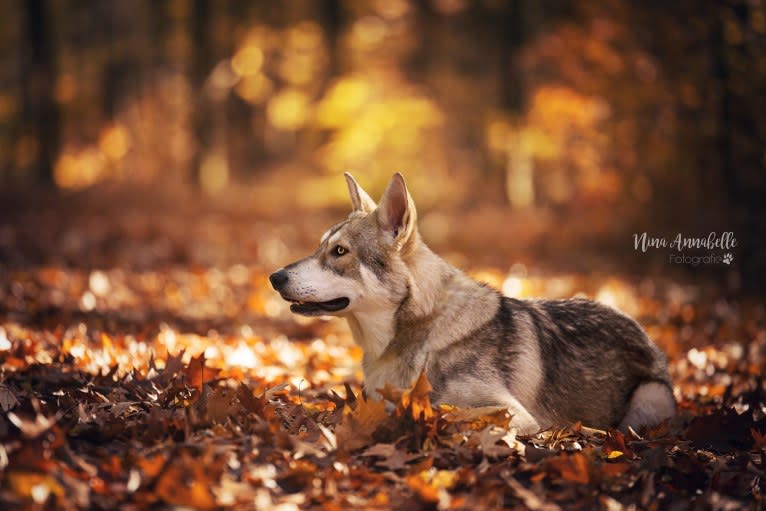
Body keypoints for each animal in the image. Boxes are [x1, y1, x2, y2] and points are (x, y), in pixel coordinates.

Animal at [272, 173, 680, 436]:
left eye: (339, 252)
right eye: (320, 246)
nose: (275, 277)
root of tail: (640, 329)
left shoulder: (513, 414)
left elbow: (447, 414)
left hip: (648, 401)